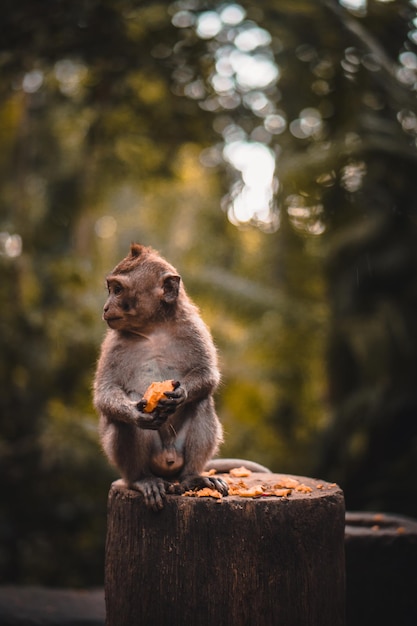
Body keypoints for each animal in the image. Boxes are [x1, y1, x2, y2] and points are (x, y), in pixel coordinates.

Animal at [93, 241, 228, 510]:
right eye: (111, 289)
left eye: (118, 290)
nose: (106, 307)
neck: (154, 328)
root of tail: (168, 465)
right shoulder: (113, 343)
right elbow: (104, 393)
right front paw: (134, 413)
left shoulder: (193, 328)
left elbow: (207, 376)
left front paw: (180, 394)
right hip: (148, 462)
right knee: (123, 423)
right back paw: (142, 480)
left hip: (178, 455)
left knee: (202, 402)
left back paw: (193, 478)